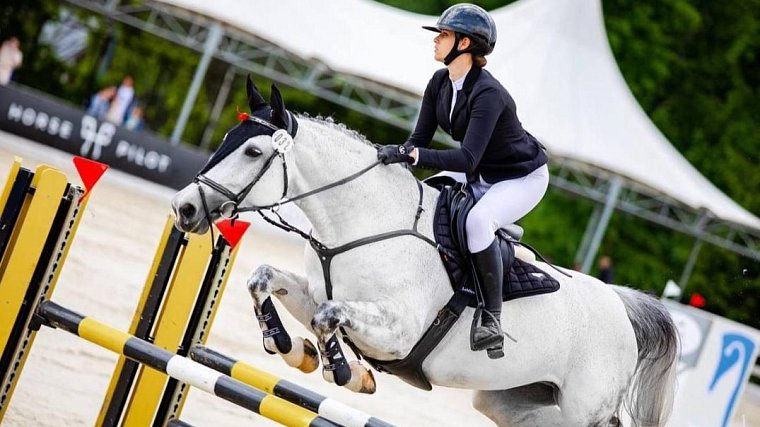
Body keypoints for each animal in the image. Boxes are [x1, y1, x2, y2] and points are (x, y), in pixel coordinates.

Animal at [172, 79, 676, 424]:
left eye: (254, 152)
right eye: (226, 140)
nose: (184, 208)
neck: (363, 219)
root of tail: (620, 304)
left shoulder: (397, 330)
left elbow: (329, 318)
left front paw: (344, 372)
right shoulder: (313, 293)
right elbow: (264, 278)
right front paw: (291, 348)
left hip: (582, 407)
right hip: (509, 399)